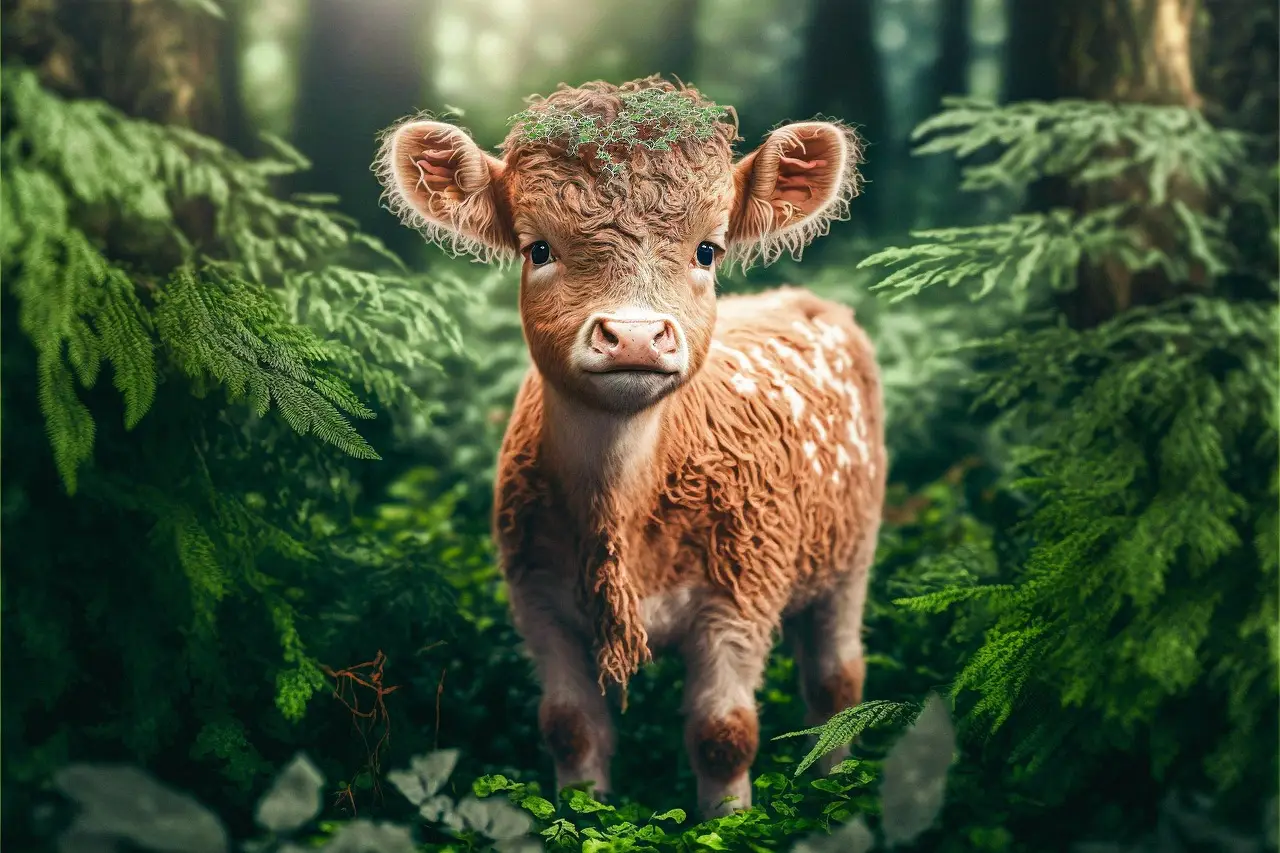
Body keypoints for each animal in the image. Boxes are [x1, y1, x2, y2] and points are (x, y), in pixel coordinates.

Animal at [375, 76, 886, 820]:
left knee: (836, 683)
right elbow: (570, 725)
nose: (637, 336)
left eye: (708, 250)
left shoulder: (741, 592)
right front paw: (579, 808)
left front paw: (729, 821)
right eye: (538, 249)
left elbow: (724, 733)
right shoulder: (536, 595)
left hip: (851, 553)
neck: (622, 504)